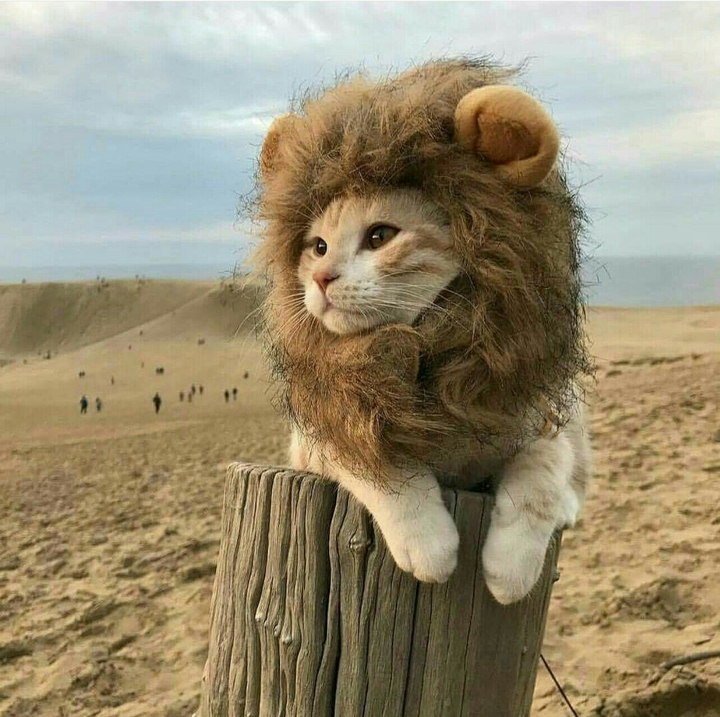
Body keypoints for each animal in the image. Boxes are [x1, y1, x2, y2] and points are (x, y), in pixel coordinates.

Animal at [249, 57, 592, 604]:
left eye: (380, 236)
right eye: (317, 247)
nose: (321, 278)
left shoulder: (542, 424)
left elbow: (540, 478)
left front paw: (510, 569)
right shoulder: (327, 435)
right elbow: (383, 466)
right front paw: (430, 546)